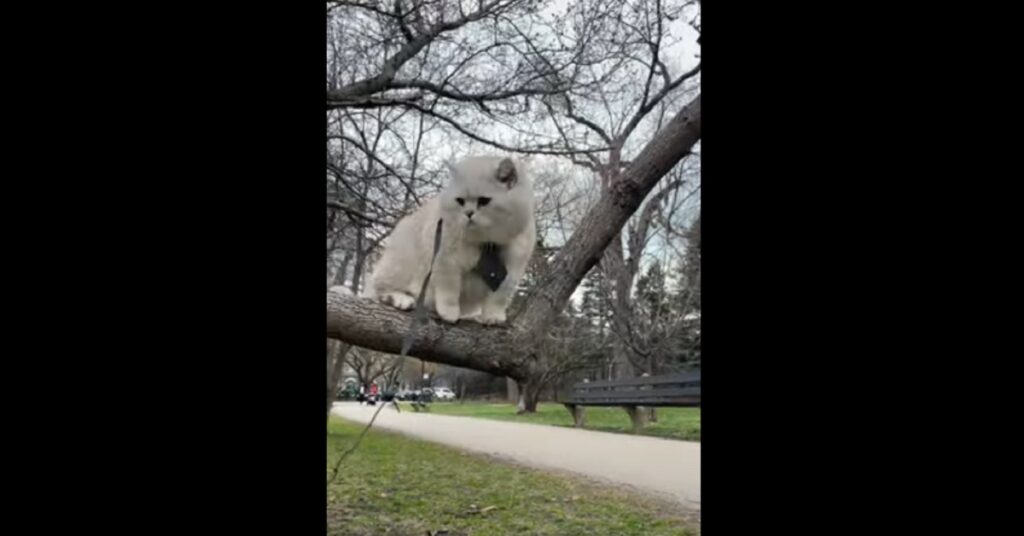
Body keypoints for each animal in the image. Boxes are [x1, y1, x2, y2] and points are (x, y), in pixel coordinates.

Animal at [372, 152, 540, 325]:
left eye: (484, 201)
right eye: (460, 201)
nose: (468, 213)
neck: (486, 242)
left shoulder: (512, 271)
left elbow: (499, 298)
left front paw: (493, 317)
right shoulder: (446, 261)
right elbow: (449, 291)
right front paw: (449, 314)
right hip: (400, 264)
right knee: (378, 288)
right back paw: (403, 300)